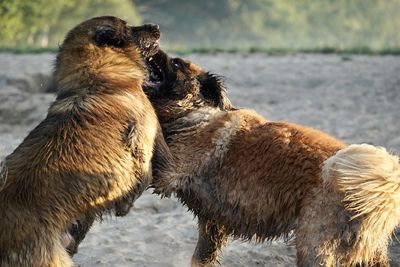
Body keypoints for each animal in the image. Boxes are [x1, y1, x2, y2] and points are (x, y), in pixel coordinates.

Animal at [0, 17, 173, 267]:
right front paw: (125, 205)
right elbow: (145, 173)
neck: (97, 79)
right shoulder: (145, 133)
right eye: (129, 28)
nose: (156, 26)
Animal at [144, 50, 400, 267]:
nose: (155, 48)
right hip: (367, 252)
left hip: (313, 244)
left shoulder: (170, 171)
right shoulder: (213, 222)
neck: (193, 112)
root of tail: (387, 190)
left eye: (176, 63)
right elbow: (202, 256)